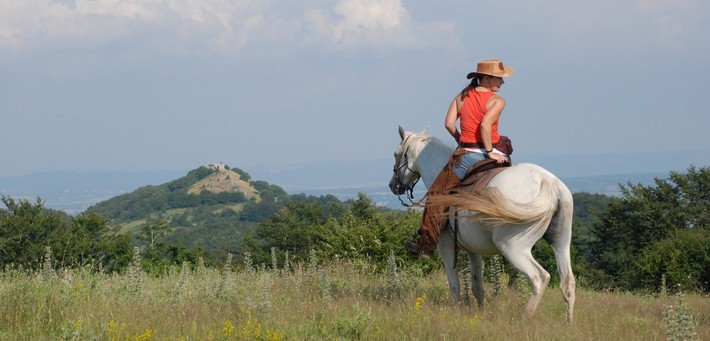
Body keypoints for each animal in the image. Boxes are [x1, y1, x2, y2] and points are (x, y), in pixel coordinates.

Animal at [390, 126, 580, 322]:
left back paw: (525, 317)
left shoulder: (446, 246)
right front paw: (479, 314)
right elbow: (477, 286)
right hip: (561, 244)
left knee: (539, 278)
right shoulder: (474, 249)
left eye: (396, 154)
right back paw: (568, 323)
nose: (392, 185)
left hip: (513, 247)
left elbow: (454, 285)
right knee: (568, 283)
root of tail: (547, 182)